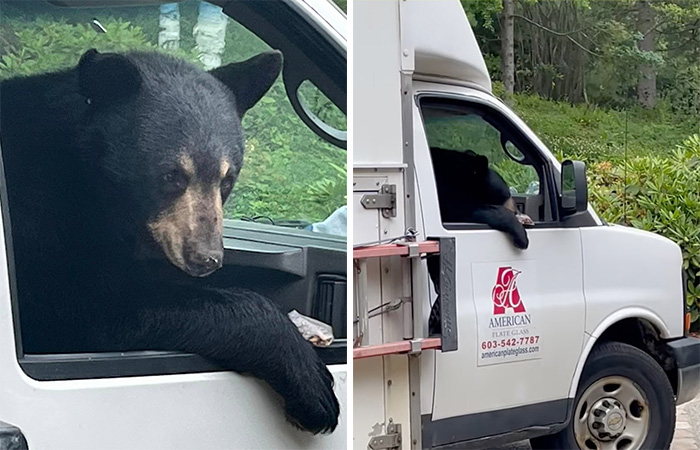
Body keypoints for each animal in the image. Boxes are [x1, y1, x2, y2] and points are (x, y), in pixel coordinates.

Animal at [0, 49, 339, 434]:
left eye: (227, 179)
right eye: (171, 175)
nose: (206, 257)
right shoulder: (40, 220)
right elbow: (90, 307)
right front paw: (314, 384)